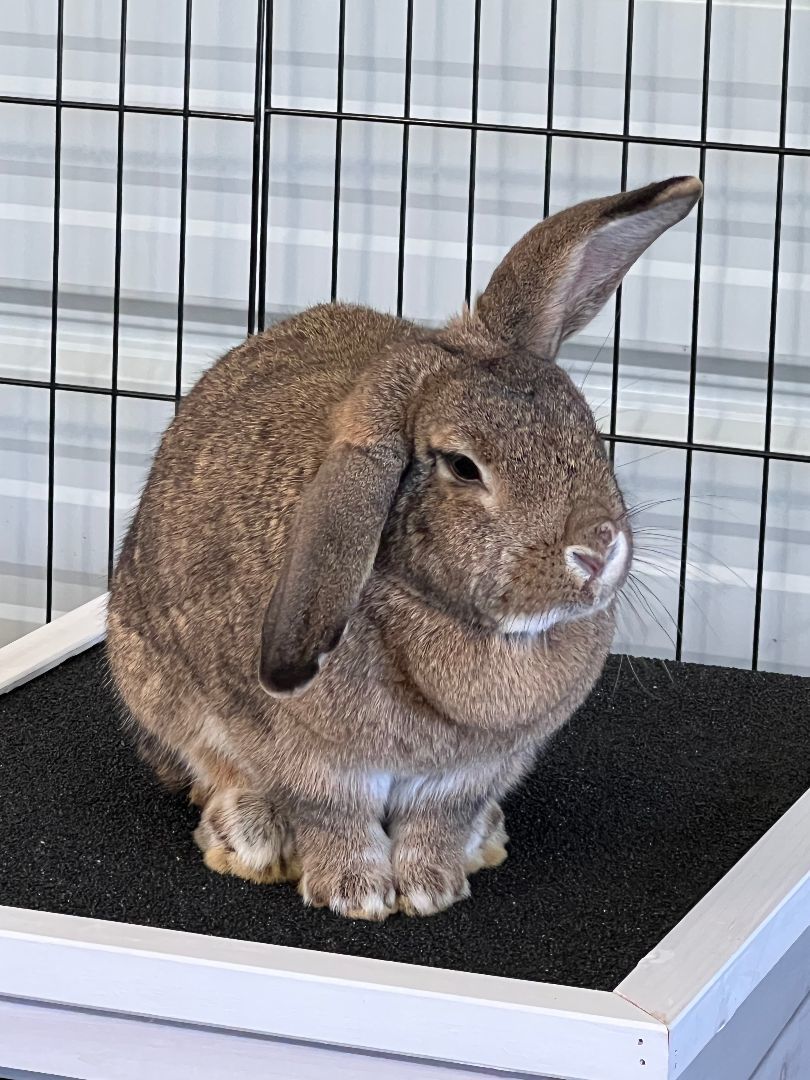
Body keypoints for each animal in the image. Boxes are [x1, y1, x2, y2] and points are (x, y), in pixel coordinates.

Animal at [107, 175, 702, 920]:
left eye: (589, 432)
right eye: (463, 466)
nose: (596, 551)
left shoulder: (472, 772)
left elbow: (437, 821)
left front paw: (430, 888)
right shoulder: (311, 758)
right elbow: (334, 816)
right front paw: (356, 894)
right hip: (153, 682)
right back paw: (251, 835)